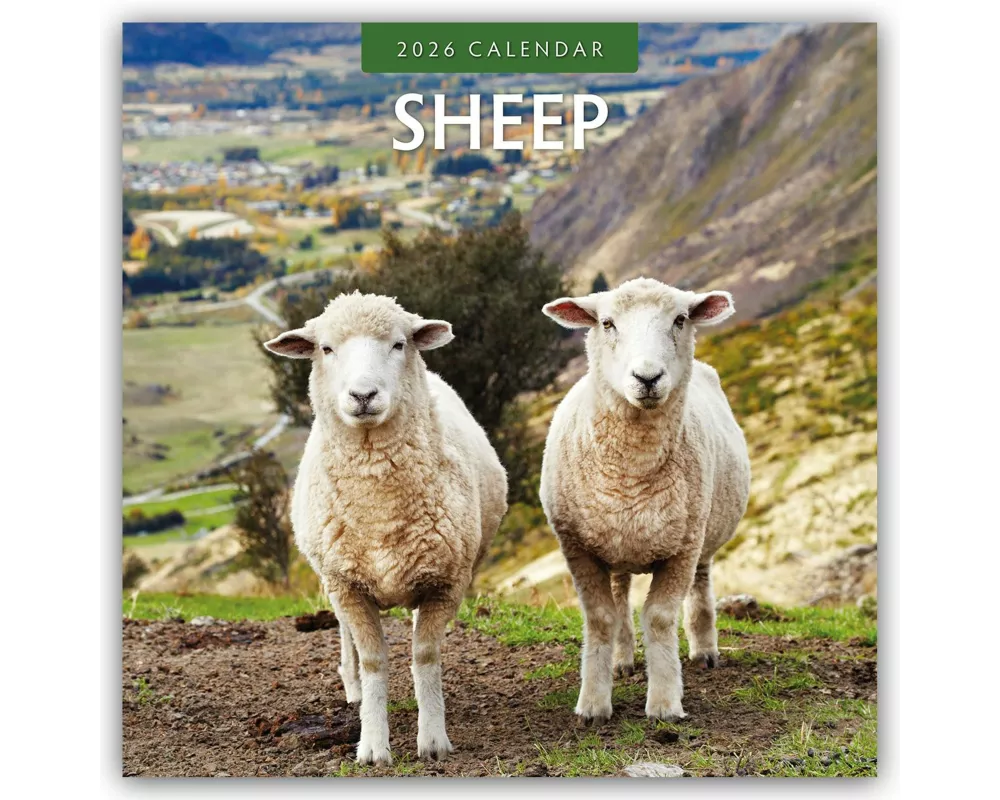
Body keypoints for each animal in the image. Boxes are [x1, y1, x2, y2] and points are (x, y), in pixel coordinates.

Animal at [264, 291, 508, 766]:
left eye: (398, 344)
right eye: (326, 348)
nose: (363, 395)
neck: (380, 510)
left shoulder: (445, 582)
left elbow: (425, 654)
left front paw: (432, 739)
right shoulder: (347, 585)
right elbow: (374, 659)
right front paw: (373, 744)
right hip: (333, 577)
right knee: (346, 639)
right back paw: (353, 688)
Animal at [539, 277, 751, 723]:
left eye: (680, 319)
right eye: (606, 322)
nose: (648, 377)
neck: (632, 475)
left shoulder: (682, 549)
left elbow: (659, 618)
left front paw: (665, 702)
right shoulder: (578, 548)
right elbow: (601, 618)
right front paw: (593, 703)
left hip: (703, 533)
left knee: (701, 587)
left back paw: (705, 651)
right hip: (616, 542)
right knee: (620, 597)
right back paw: (622, 660)